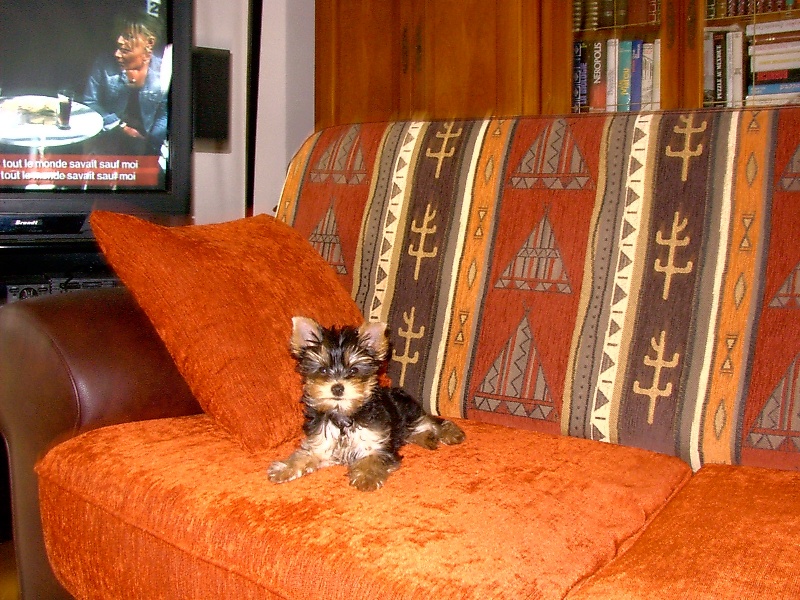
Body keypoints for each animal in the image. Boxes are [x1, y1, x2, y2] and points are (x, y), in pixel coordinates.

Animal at [268, 316, 465, 491]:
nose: (337, 388)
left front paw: (366, 477)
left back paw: (449, 433)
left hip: (407, 412)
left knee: (430, 421)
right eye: (323, 370)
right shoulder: (321, 443)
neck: (344, 415)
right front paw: (283, 468)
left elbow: (373, 458)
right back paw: (427, 438)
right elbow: (303, 455)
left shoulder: (377, 441)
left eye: (354, 370)